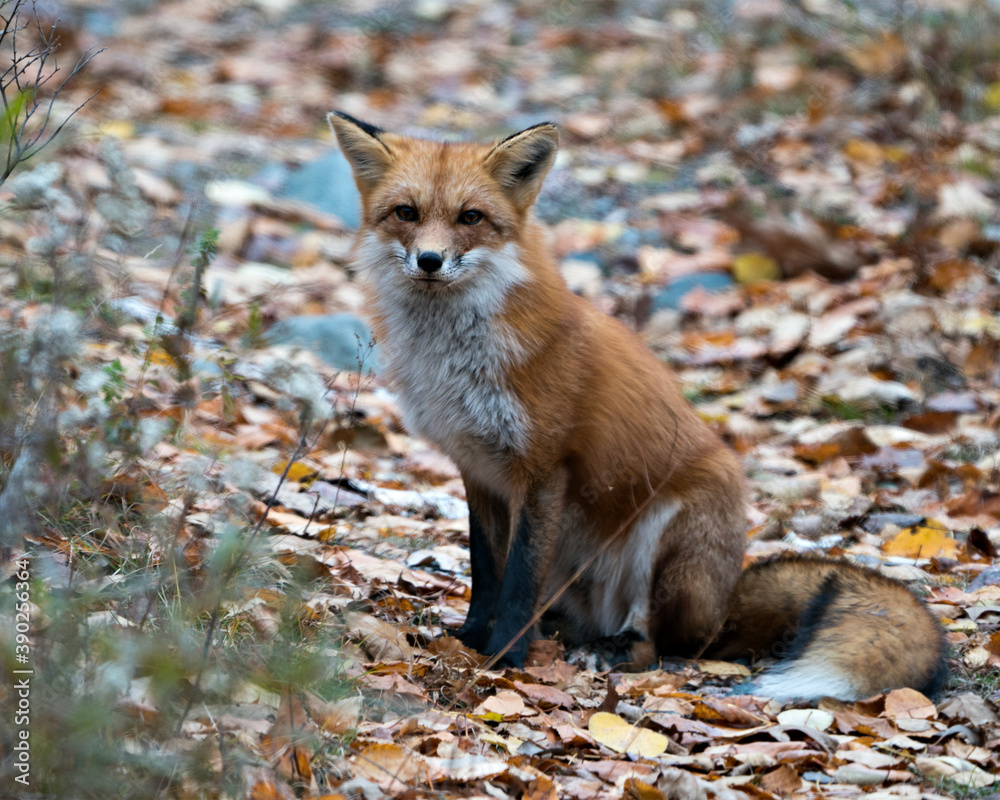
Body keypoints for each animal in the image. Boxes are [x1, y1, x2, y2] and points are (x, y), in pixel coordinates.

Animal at [328, 111, 944, 700]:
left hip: (665, 527)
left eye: (470, 218)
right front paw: (472, 638)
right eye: (406, 213)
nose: (430, 260)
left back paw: (614, 649)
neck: (456, 362)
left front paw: (505, 656)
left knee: (656, 644)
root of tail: (723, 609)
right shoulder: (476, 469)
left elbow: (519, 580)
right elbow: (487, 573)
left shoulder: (543, 468)